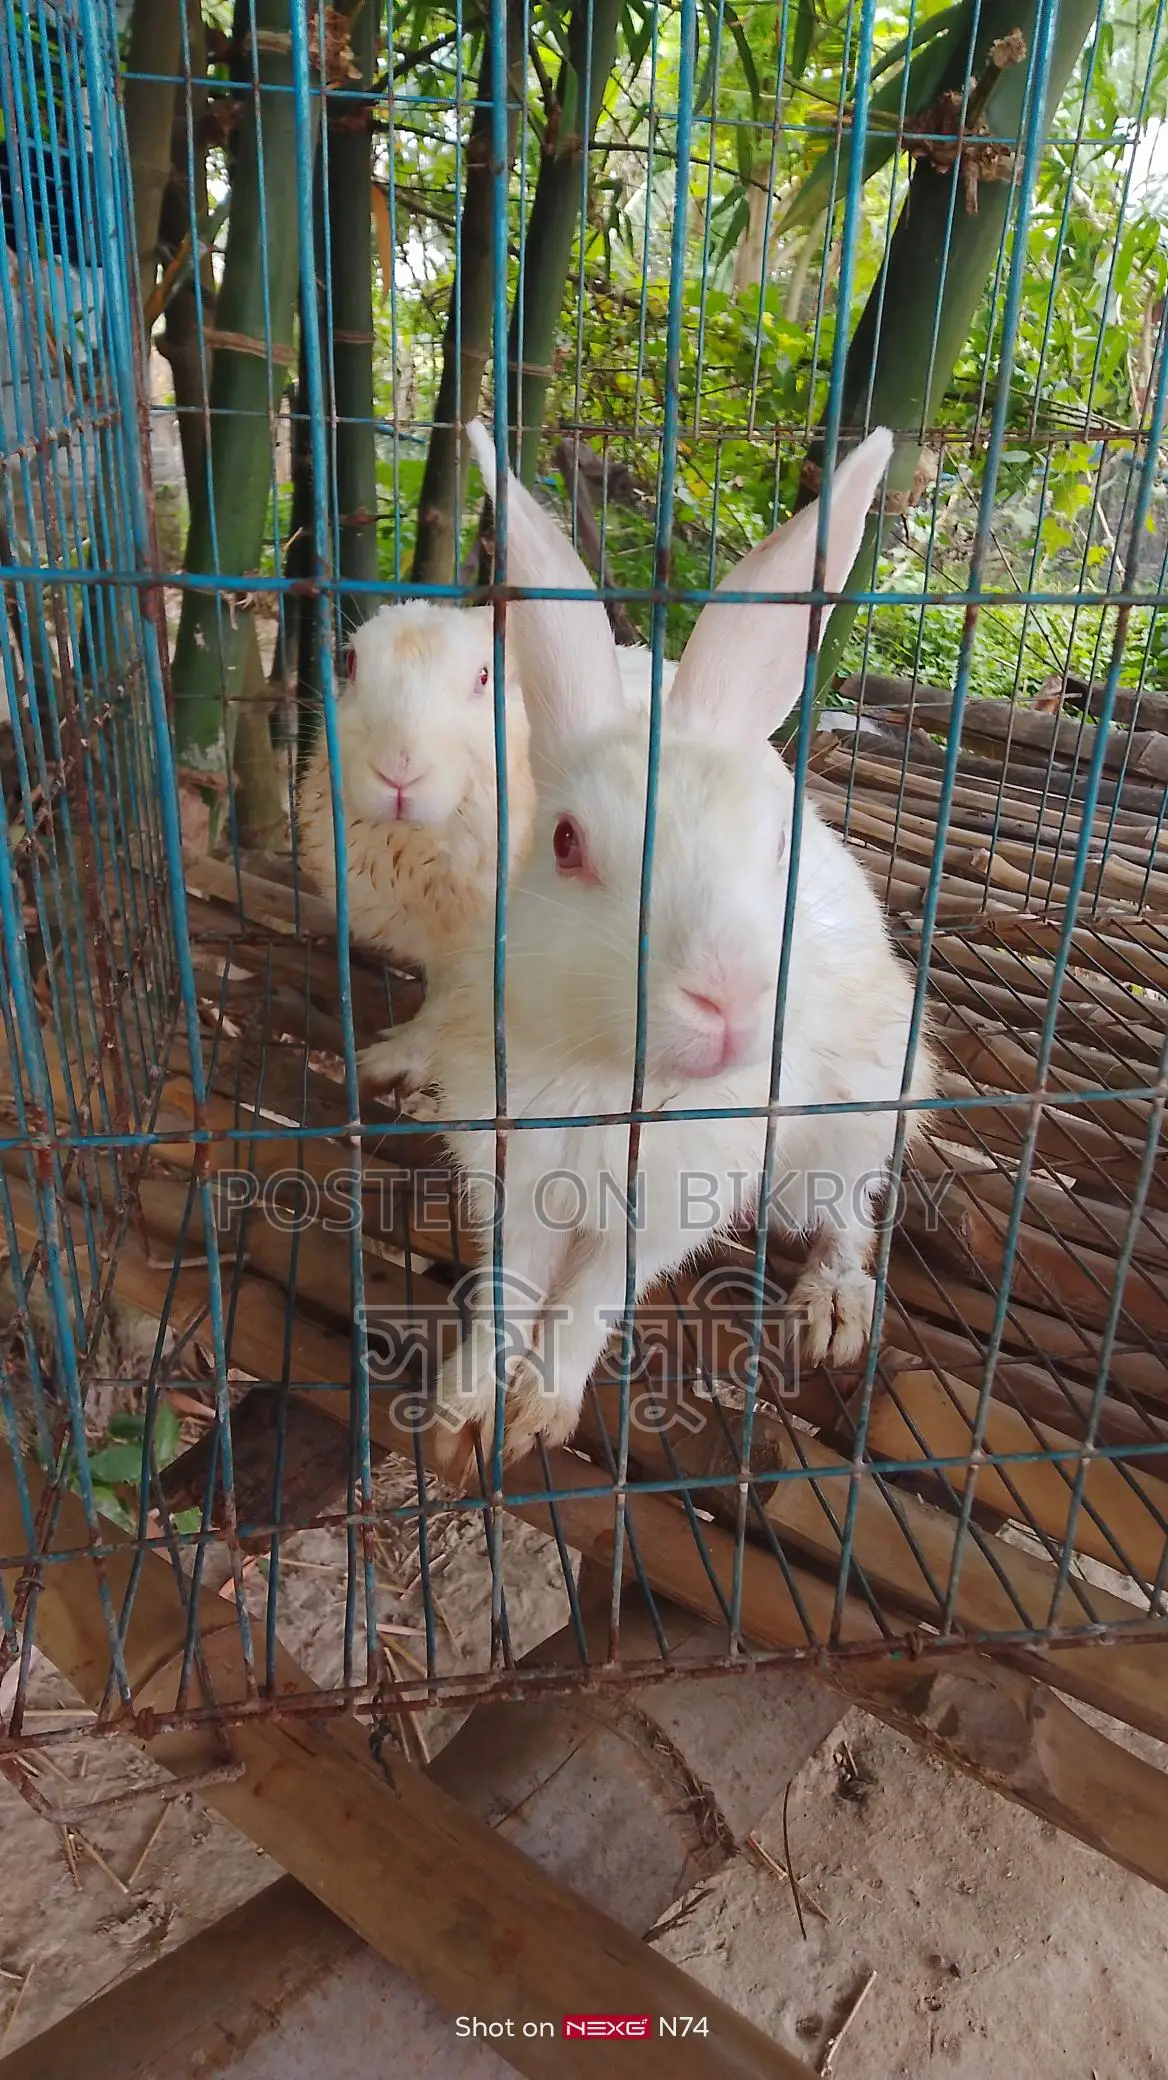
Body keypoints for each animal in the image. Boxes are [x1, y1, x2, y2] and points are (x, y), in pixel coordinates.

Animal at [358, 418, 934, 1477]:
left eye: (779, 842)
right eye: (566, 842)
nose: (730, 1001)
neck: (613, 1081)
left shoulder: (667, 1207)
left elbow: (587, 1303)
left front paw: (537, 1414)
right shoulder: (511, 1175)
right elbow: (506, 1292)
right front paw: (460, 1409)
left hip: (860, 1110)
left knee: (849, 1214)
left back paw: (831, 1309)